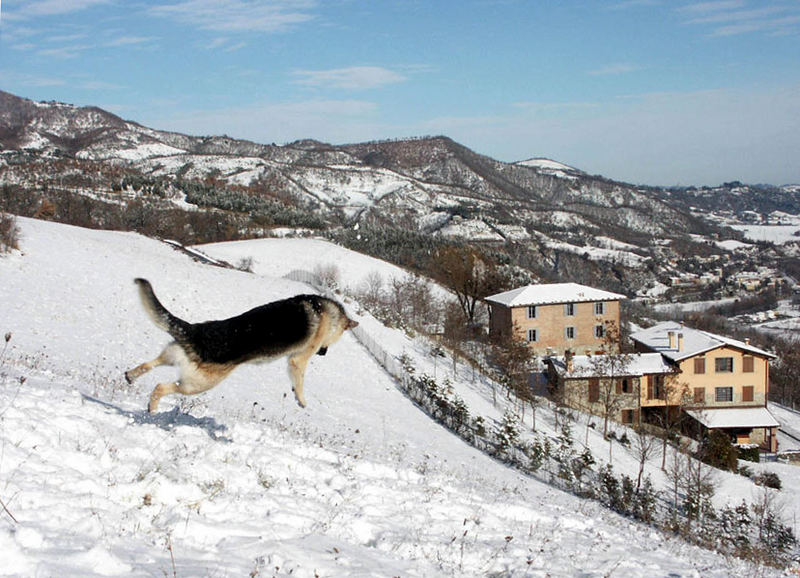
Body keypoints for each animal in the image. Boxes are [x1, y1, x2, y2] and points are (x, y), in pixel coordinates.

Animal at [126, 278, 360, 410]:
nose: (324, 353)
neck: (329, 313)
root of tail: (194, 331)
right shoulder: (298, 359)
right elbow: (300, 379)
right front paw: (301, 400)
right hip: (196, 384)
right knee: (161, 387)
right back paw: (152, 407)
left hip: (172, 355)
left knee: (149, 365)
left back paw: (131, 376)